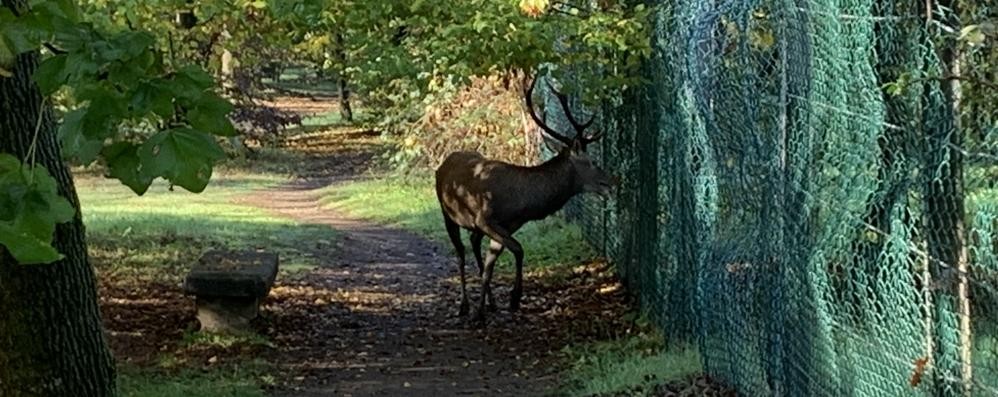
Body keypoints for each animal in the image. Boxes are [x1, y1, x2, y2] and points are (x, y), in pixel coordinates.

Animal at [436, 72, 616, 324]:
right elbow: (519, 250)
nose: (612, 183)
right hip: (448, 213)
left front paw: (484, 311)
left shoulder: (507, 225)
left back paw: (490, 303)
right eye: (591, 162)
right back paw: (464, 305)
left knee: (473, 244)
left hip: (474, 226)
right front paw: (513, 298)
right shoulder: (486, 218)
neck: (521, 203)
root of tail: (443, 163)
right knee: (461, 254)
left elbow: (491, 266)